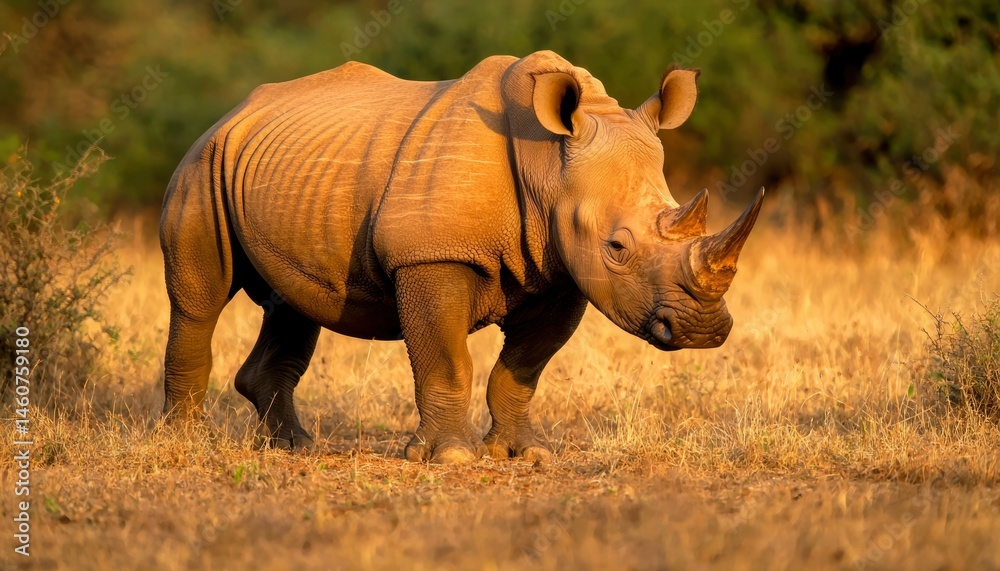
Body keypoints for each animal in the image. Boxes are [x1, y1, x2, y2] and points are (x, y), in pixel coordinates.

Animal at [160, 50, 763, 463]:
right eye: (617, 247)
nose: (704, 329)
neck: (549, 166)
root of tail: (233, 112)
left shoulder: (563, 272)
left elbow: (523, 369)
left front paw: (523, 453)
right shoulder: (431, 256)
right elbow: (448, 361)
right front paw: (451, 456)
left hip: (288, 180)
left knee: (295, 303)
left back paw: (294, 447)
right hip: (202, 164)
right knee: (199, 300)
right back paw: (187, 441)